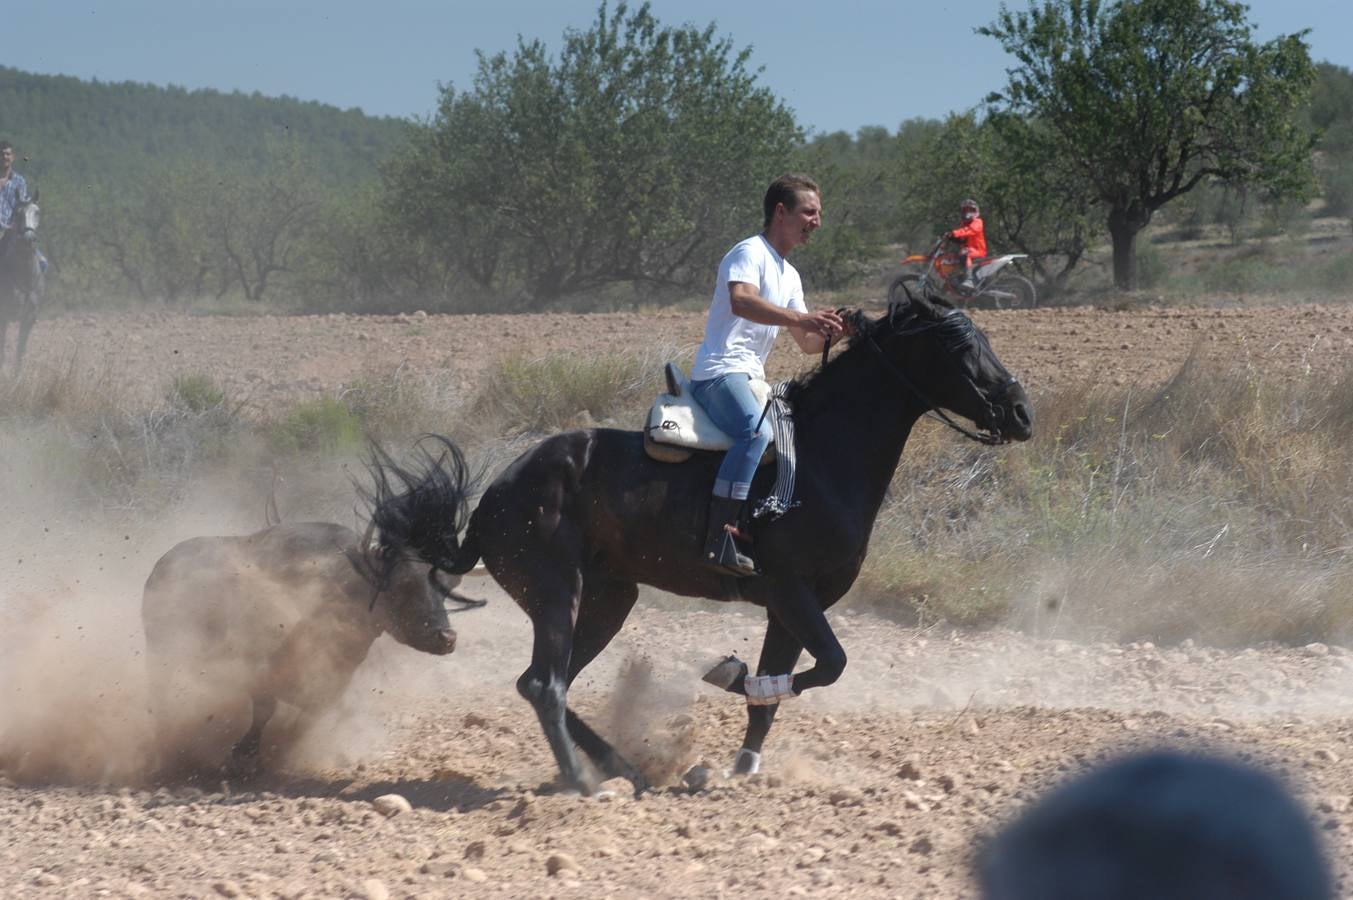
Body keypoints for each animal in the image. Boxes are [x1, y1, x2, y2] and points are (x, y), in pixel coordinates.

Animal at [365, 289, 1028, 795]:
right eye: (962, 347)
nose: (1022, 412)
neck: (821, 460)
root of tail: (491, 502)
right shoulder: (792, 592)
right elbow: (828, 666)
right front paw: (730, 676)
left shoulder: (789, 609)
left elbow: (778, 696)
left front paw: (743, 765)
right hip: (557, 592)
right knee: (544, 685)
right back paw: (583, 784)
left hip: (609, 599)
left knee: (548, 683)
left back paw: (623, 769)